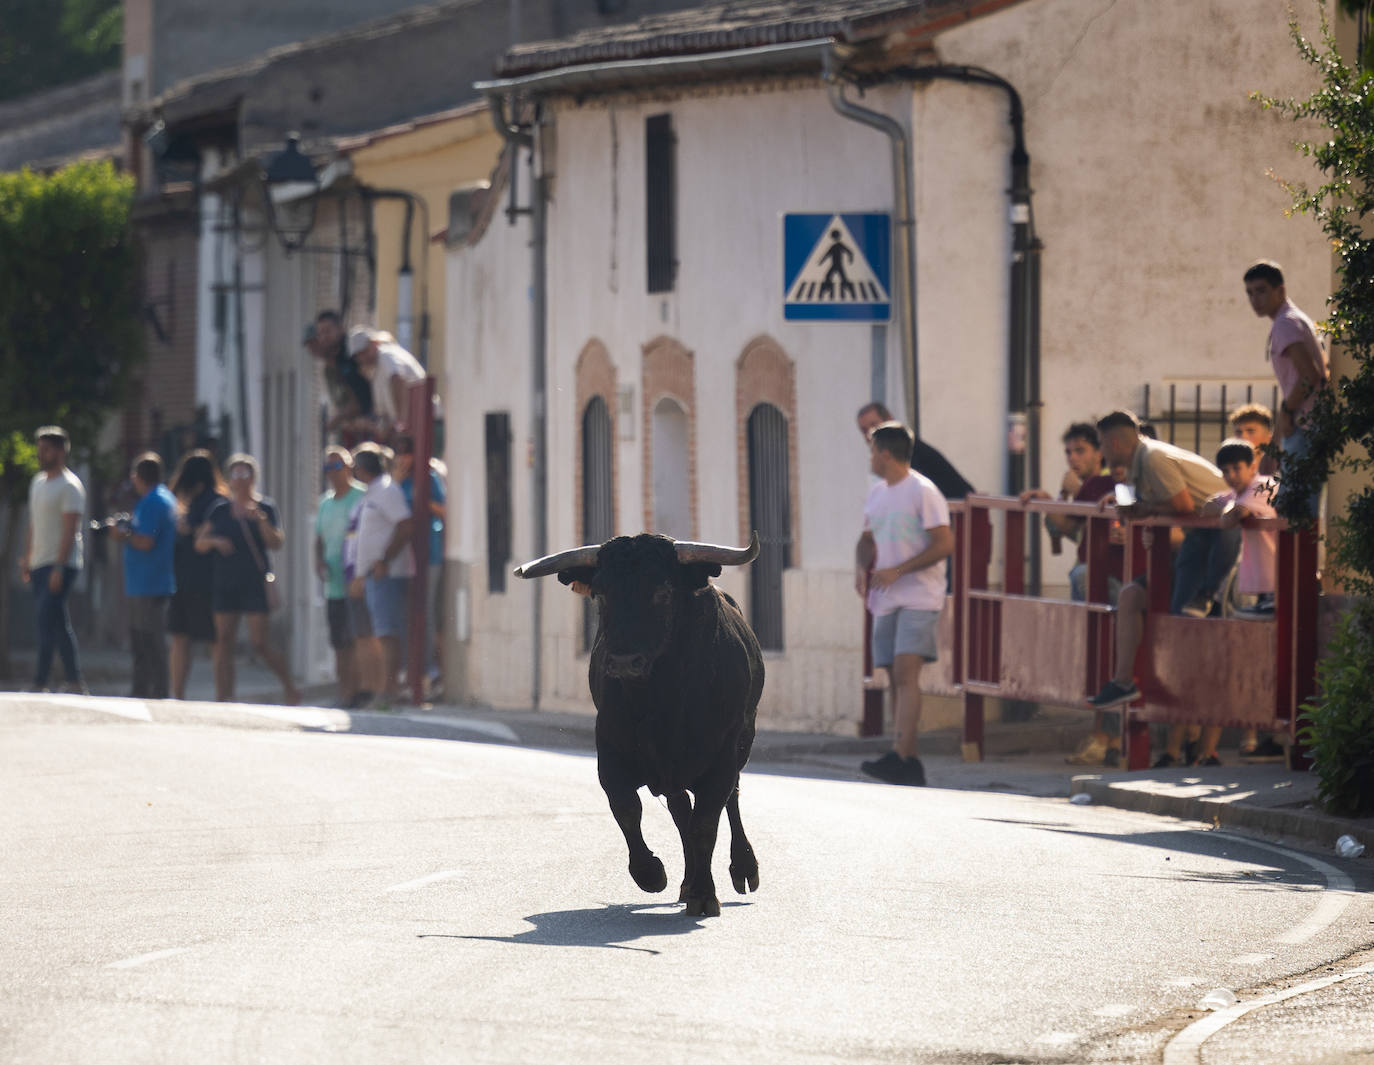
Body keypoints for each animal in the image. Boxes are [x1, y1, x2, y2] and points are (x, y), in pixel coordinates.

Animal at [516, 533, 769, 917]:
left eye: (663, 591)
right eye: (602, 593)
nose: (624, 661)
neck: (660, 700)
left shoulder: (722, 756)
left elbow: (706, 822)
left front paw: (705, 895)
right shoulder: (609, 750)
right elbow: (627, 809)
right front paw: (652, 873)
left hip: (742, 742)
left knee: (730, 801)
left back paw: (742, 868)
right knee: (681, 811)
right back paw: (686, 881)